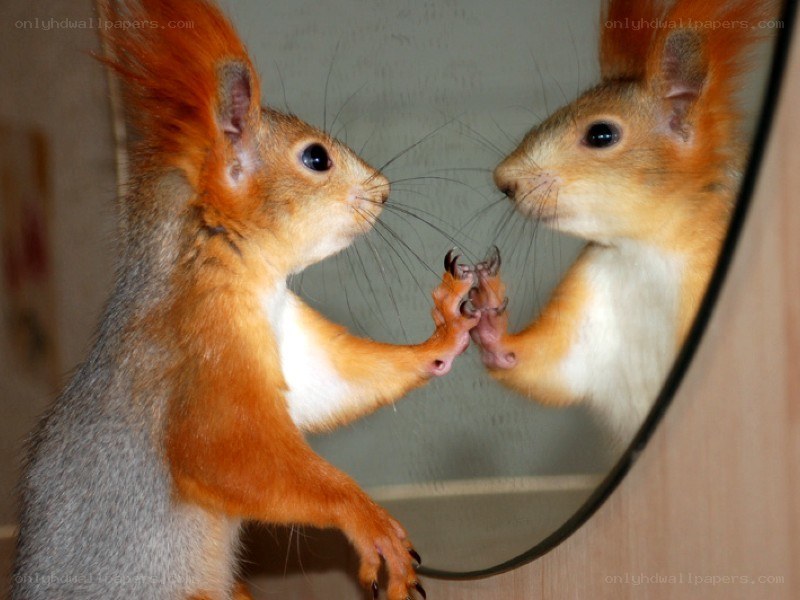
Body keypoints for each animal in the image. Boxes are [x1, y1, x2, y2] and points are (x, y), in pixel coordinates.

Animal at [11, 1, 478, 599]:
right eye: (316, 159)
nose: (384, 190)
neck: (242, 271)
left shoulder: (294, 342)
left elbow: (340, 380)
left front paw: (446, 334)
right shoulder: (204, 358)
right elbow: (231, 458)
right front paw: (368, 521)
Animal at [469, 0, 778, 447]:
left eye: (601, 134)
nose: (504, 180)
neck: (648, 252)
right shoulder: (590, 295)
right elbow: (545, 364)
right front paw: (489, 322)